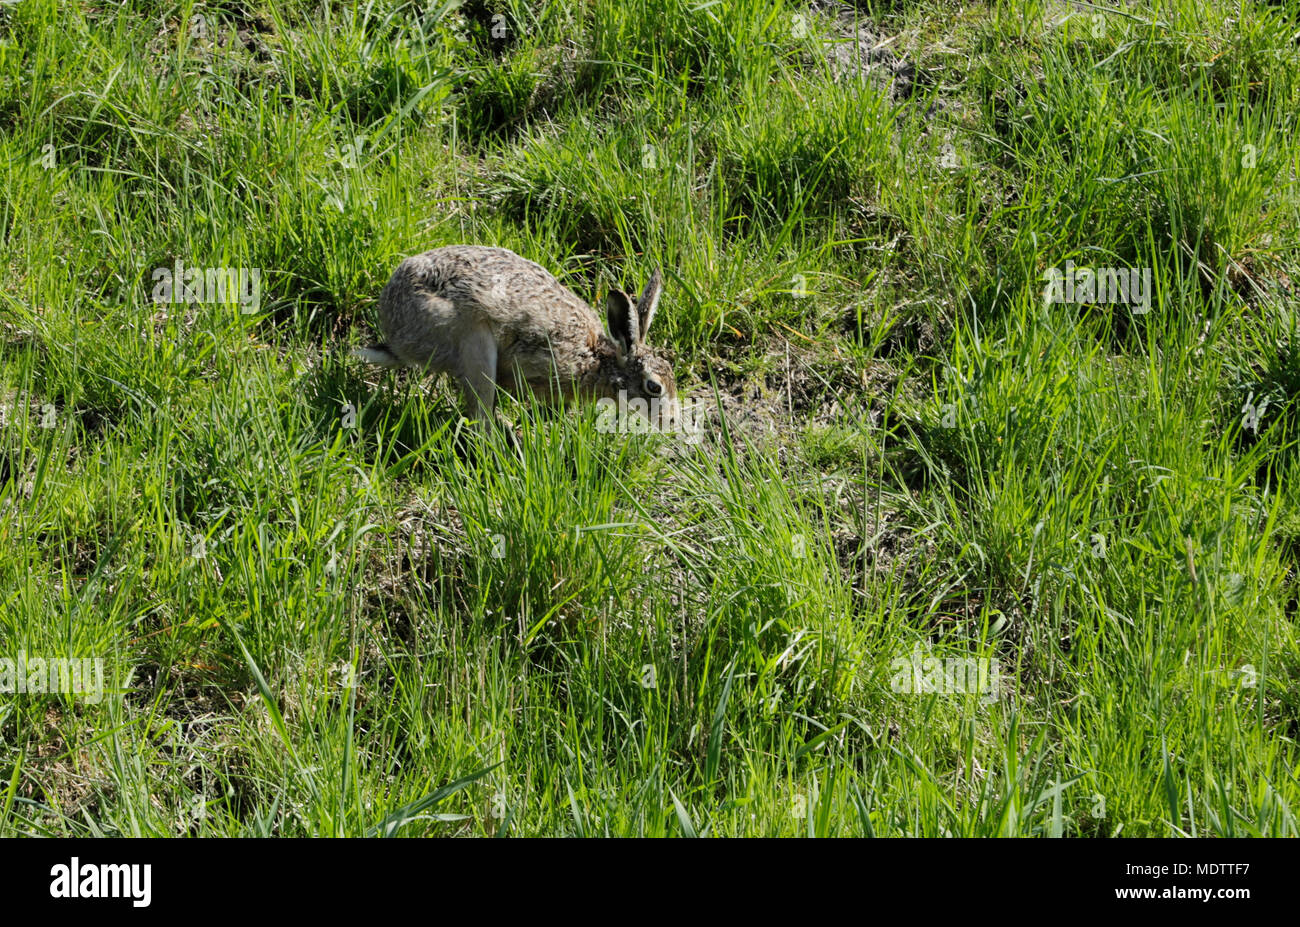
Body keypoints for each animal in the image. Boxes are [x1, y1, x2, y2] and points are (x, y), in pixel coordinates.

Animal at [354, 245, 679, 433]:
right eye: (654, 387)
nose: (673, 421)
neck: (597, 359)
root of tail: (394, 328)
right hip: (473, 343)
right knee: (480, 414)